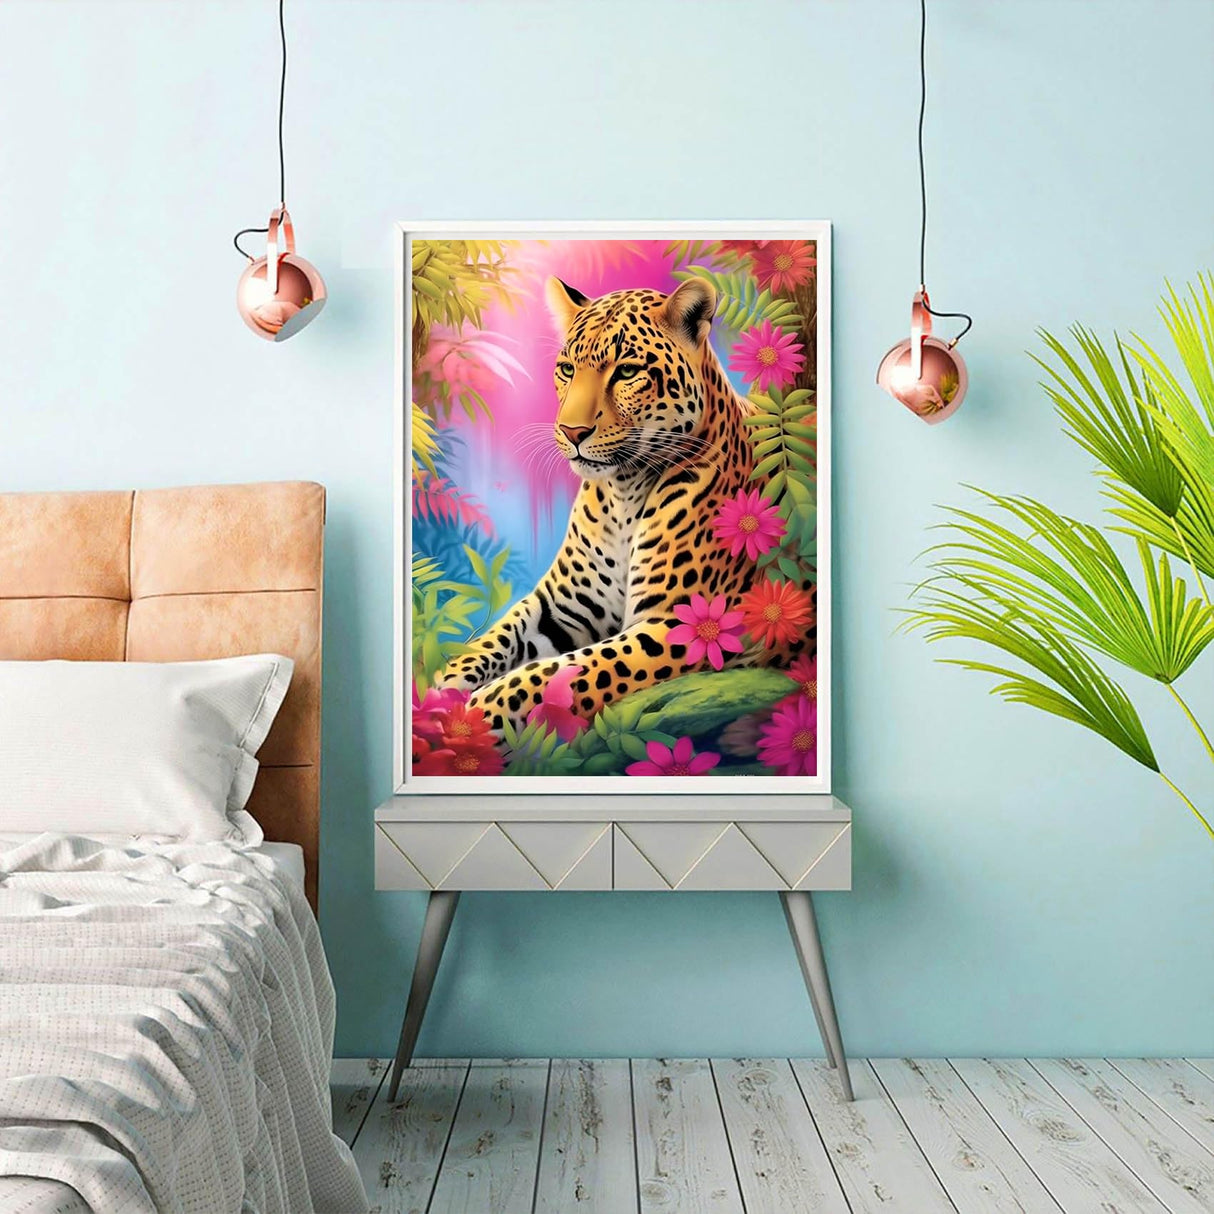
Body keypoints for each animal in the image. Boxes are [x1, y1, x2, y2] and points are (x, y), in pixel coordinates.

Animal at [433, 274, 814, 740]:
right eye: (567, 369)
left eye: (628, 372)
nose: (571, 431)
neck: (624, 494)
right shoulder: (559, 606)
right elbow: (500, 635)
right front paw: (444, 687)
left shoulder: (683, 624)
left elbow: (570, 671)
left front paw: (486, 709)